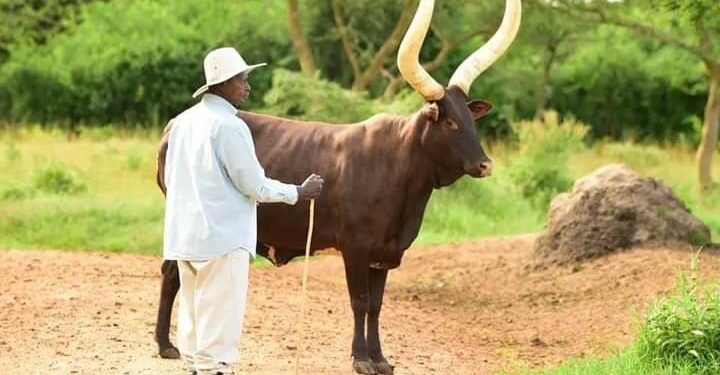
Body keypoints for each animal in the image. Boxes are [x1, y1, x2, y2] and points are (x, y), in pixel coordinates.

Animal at [155, 1, 520, 374]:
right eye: (449, 122)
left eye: (472, 119)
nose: (485, 164)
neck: (399, 168)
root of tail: (174, 125)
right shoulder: (355, 249)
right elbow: (359, 301)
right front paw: (361, 358)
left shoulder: (385, 255)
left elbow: (375, 305)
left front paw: (380, 358)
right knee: (172, 272)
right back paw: (166, 345)